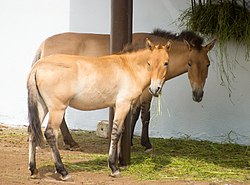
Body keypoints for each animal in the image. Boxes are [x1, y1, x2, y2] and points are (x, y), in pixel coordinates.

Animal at [27, 39, 172, 179]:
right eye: (149, 63)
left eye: (166, 63)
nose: (155, 89)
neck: (129, 67)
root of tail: (37, 67)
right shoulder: (123, 104)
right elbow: (116, 132)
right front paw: (114, 167)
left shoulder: (116, 105)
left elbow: (121, 131)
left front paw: (119, 162)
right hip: (57, 109)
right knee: (50, 133)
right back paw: (63, 171)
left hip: (42, 106)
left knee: (33, 131)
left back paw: (33, 170)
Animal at [32, 28, 217, 150]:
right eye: (190, 63)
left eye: (208, 64)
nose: (198, 94)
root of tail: (43, 45)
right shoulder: (144, 93)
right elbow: (142, 116)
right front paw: (143, 143)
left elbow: (136, 115)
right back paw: (71, 142)